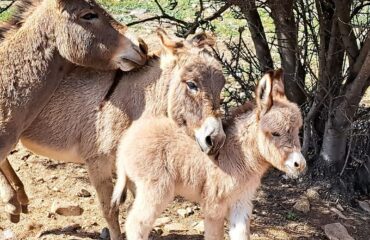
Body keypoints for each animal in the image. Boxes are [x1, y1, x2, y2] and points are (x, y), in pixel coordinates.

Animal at [112, 70, 306, 240]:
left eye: (298, 130)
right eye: (275, 133)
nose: (300, 165)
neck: (239, 155)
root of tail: (125, 141)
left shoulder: (241, 203)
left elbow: (241, 235)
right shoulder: (214, 206)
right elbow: (214, 236)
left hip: (139, 188)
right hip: (156, 190)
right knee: (136, 223)